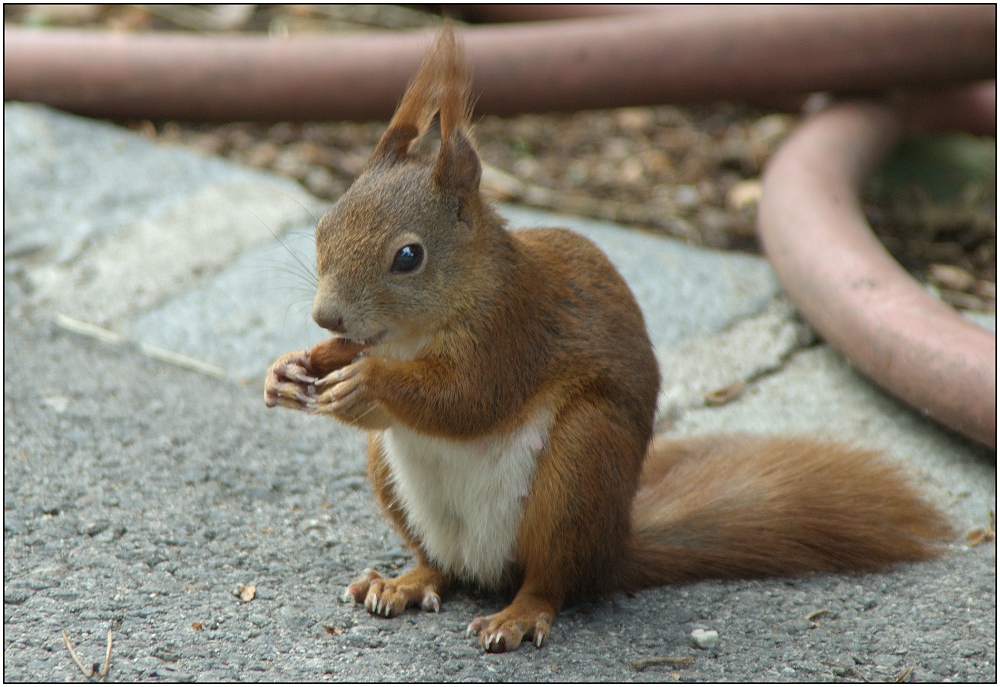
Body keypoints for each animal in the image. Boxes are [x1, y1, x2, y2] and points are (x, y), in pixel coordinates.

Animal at [266, 25, 952, 652]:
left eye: (408, 257)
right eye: (324, 225)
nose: (326, 316)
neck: (414, 335)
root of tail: (613, 549)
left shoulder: (514, 328)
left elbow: (469, 398)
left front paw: (366, 383)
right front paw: (291, 368)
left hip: (579, 467)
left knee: (551, 580)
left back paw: (518, 615)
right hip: (395, 478)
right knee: (441, 566)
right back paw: (405, 582)